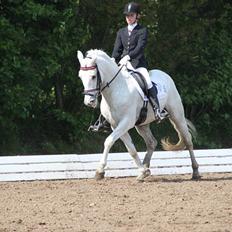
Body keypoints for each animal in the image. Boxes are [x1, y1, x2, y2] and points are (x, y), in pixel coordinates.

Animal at [77, 49, 200, 181]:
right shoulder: (116, 125)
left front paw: (99, 171)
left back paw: (195, 172)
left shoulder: (126, 122)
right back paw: (145, 168)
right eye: (80, 76)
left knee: (188, 140)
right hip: (142, 124)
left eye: (93, 76)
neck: (117, 89)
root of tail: (164, 74)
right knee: (152, 142)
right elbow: (131, 149)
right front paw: (142, 171)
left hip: (177, 115)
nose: (89, 102)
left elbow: (108, 141)